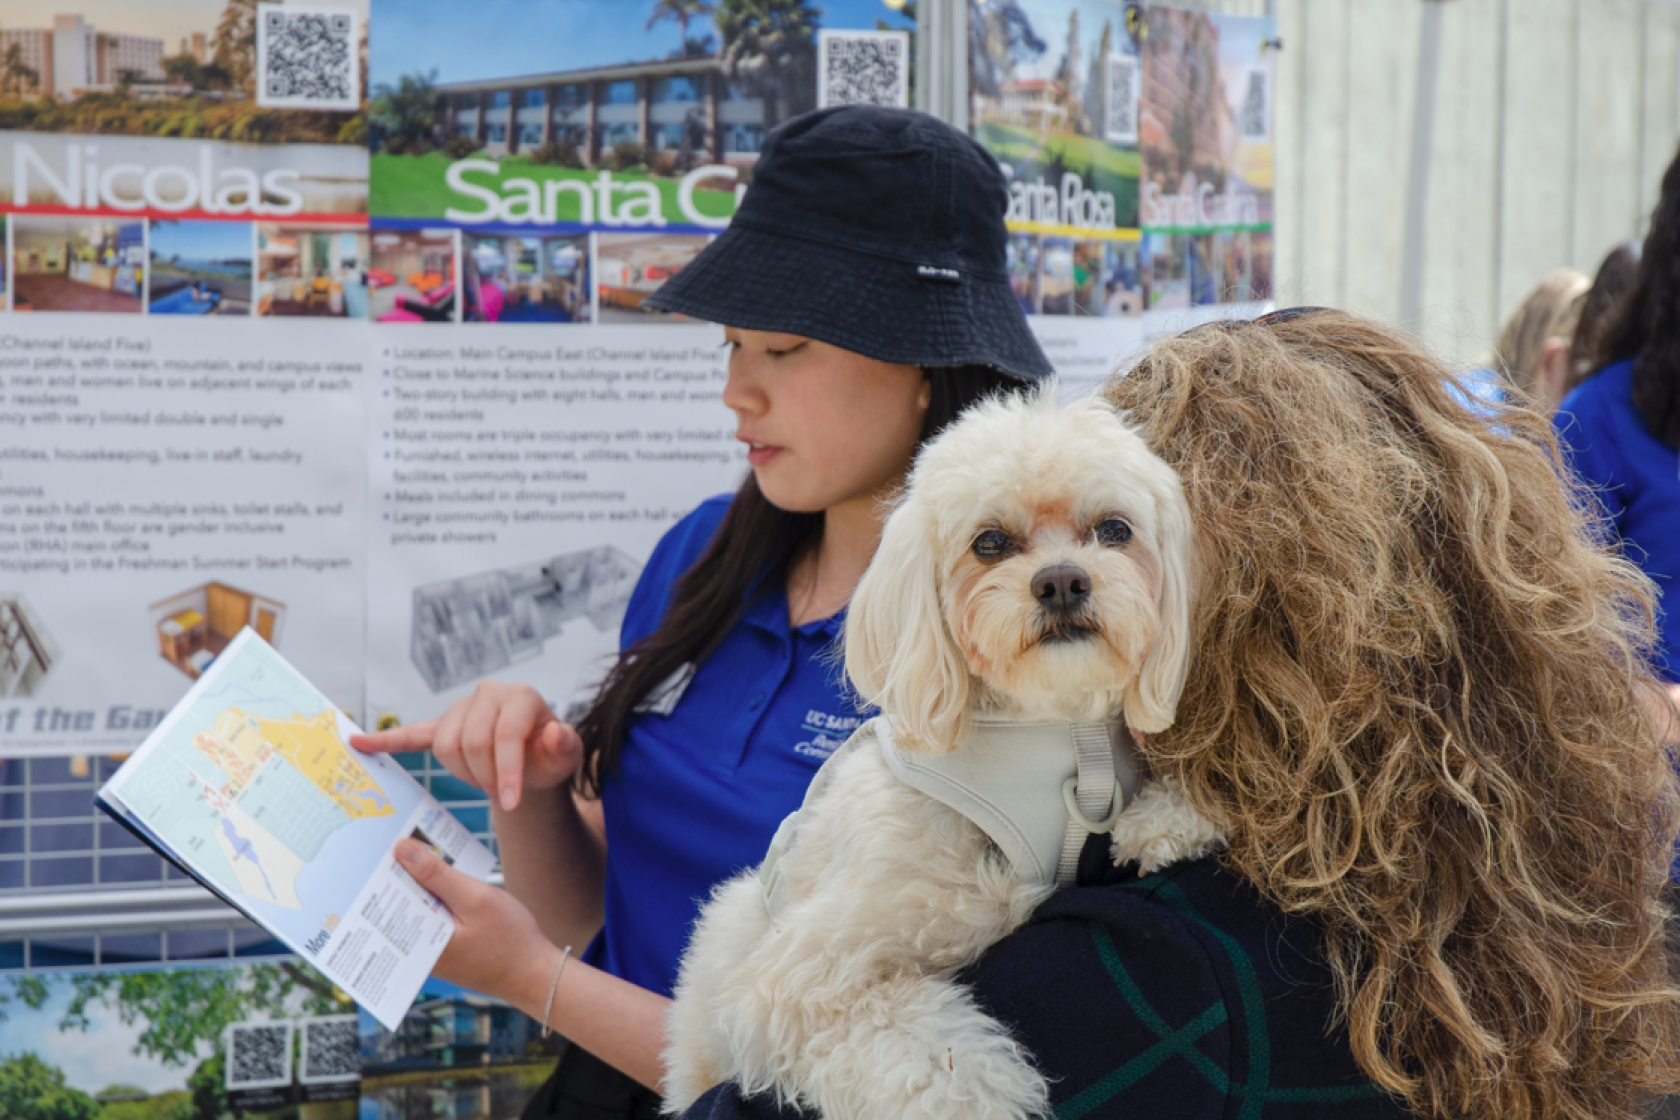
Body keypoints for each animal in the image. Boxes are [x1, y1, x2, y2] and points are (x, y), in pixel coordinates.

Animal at [661, 389, 1229, 1114]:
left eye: (1114, 530)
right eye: (989, 542)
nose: (1062, 582)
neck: (1057, 730)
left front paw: (1175, 815)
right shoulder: (796, 983)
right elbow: (922, 1047)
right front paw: (981, 1097)